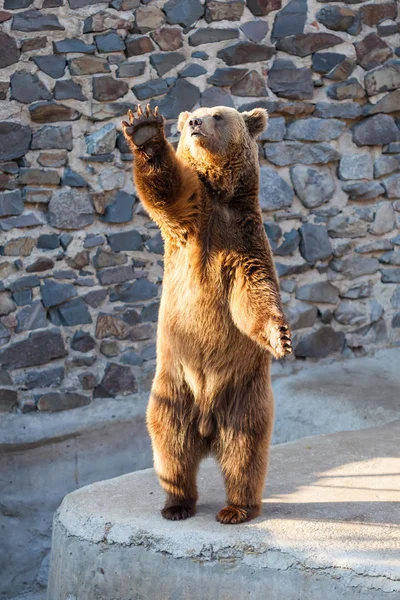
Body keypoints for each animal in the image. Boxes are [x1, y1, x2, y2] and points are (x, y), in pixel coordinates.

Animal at [121, 104, 290, 524]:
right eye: (194, 117)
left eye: (218, 115)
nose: (195, 123)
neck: (220, 196)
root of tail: (207, 426)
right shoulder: (191, 221)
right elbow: (166, 190)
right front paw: (144, 129)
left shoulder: (243, 240)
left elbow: (253, 295)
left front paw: (280, 335)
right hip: (173, 388)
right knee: (171, 448)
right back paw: (176, 504)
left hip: (244, 395)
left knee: (245, 452)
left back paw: (236, 508)